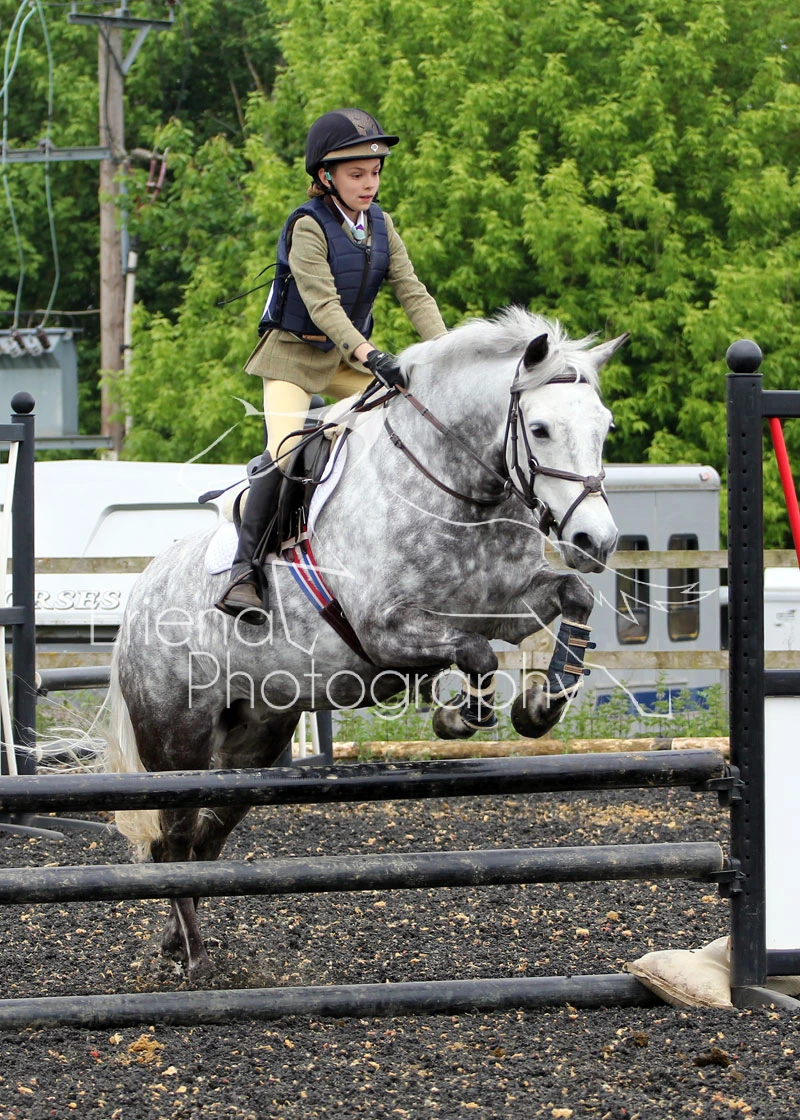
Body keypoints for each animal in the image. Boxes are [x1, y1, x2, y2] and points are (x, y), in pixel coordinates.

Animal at [105, 306, 627, 978]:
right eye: (538, 429)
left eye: (604, 427)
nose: (596, 541)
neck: (455, 489)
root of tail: (138, 597)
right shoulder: (387, 629)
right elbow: (476, 654)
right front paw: (458, 718)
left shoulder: (508, 606)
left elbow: (573, 599)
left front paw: (539, 707)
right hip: (178, 745)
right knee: (172, 838)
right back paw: (195, 958)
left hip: (255, 741)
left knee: (204, 838)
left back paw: (179, 939)